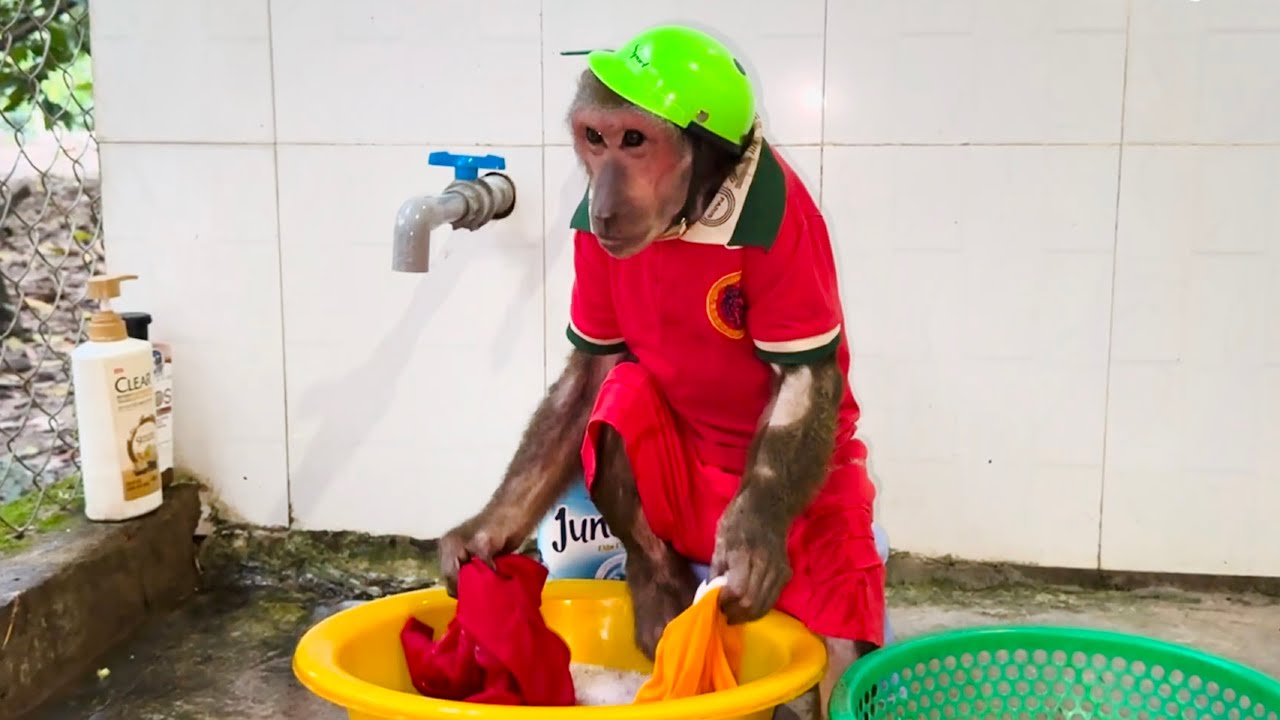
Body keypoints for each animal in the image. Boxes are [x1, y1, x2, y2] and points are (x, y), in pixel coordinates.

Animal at [439, 27, 885, 719]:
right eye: (595, 138)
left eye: (634, 140)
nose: (604, 191)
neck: (688, 219)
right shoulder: (586, 237)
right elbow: (593, 373)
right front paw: (486, 533)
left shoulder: (790, 224)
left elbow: (801, 379)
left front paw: (754, 541)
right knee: (621, 398)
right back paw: (658, 582)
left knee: (840, 633)